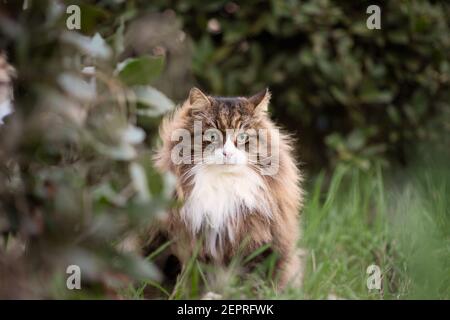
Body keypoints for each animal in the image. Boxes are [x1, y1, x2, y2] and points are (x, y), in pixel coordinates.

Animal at [153, 87, 304, 290]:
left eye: (243, 137)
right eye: (212, 136)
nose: (228, 153)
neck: (223, 185)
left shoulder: (258, 242)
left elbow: (252, 282)